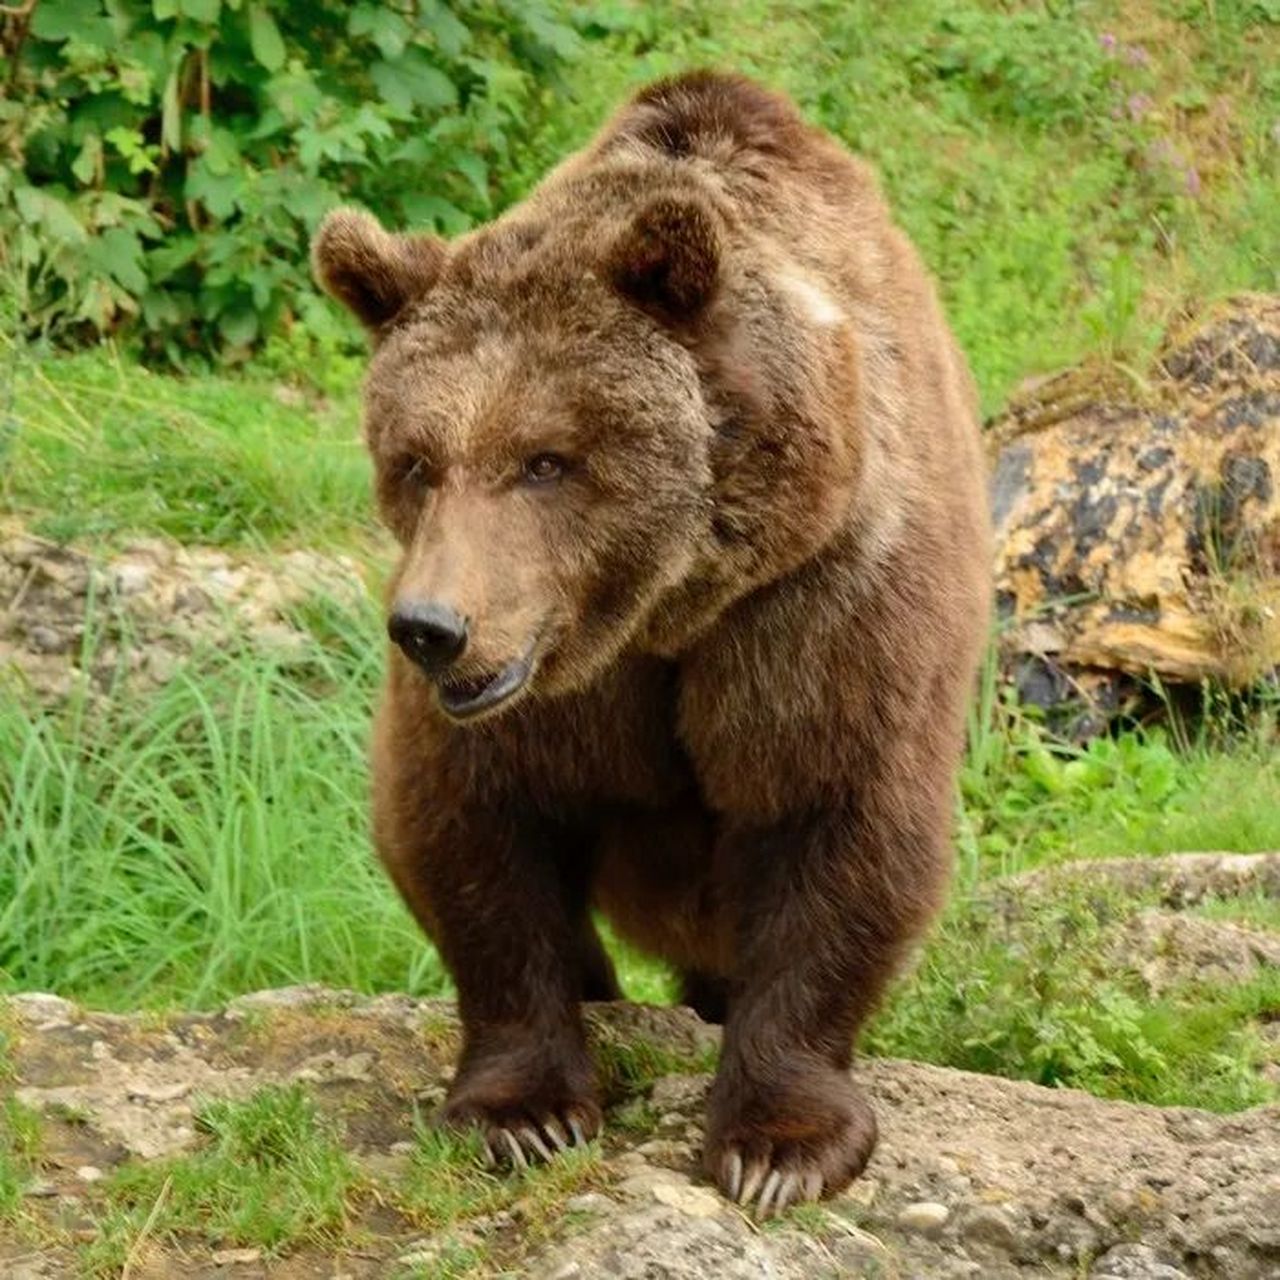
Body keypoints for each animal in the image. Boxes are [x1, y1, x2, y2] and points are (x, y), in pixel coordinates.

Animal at [312, 70, 991, 1216]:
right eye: (414, 460)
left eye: (547, 460)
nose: (431, 628)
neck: (664, 607)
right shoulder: (541, 693)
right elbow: (470, 832)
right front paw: (525, 1112)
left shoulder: (821, 602)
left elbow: (835, 816)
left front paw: (779, 1144)